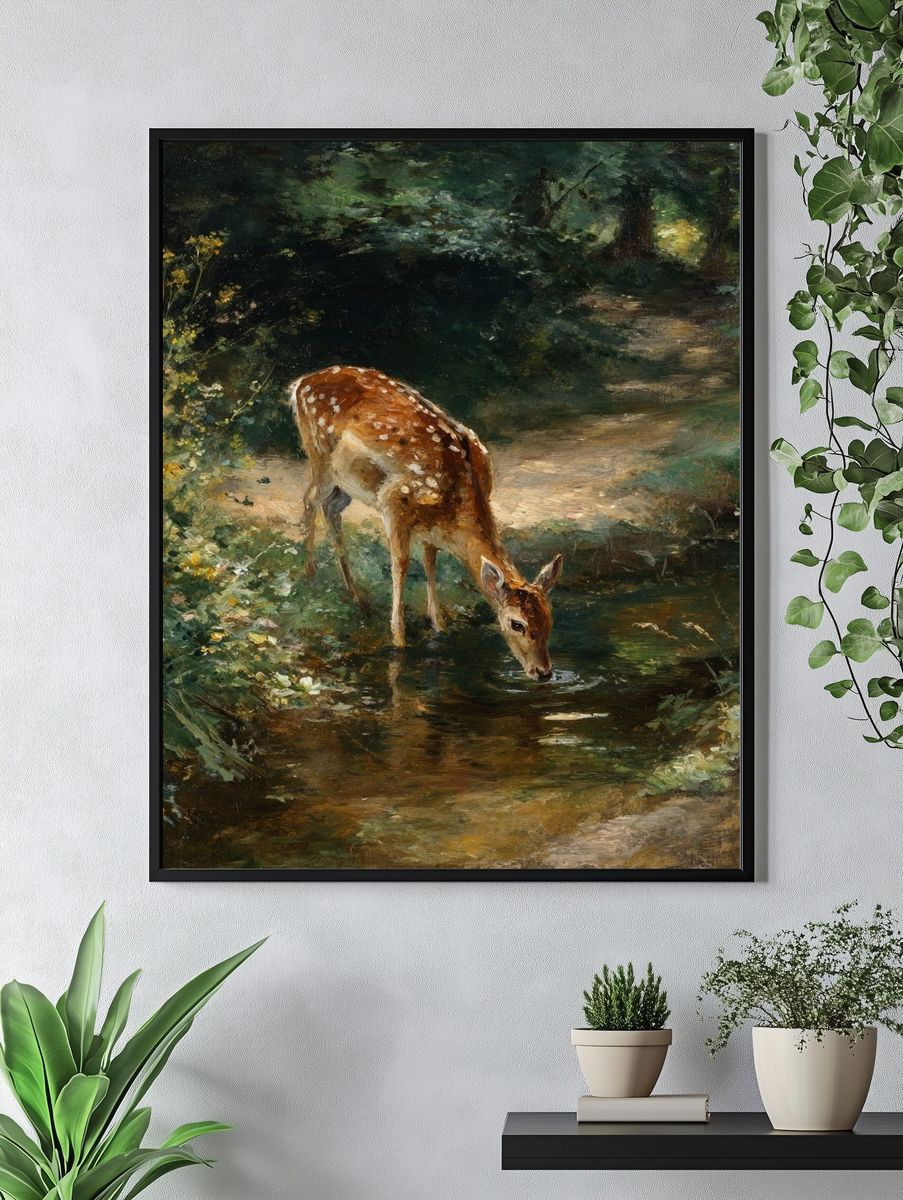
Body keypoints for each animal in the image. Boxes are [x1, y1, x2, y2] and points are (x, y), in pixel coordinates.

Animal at [287, 366, 563, 681]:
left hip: (346, 483)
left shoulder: (430, 528)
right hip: (318, 455)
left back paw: (356, 595)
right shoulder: (394, 501)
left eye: (550, 619)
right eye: (517, 624)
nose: (543, 672)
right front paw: (399, 638)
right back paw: (309, 573)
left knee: (330, 509)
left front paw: (439, 625)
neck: (457, 502)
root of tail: (300, 383)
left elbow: (430, 562)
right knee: (309, 500)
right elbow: (401, 563)